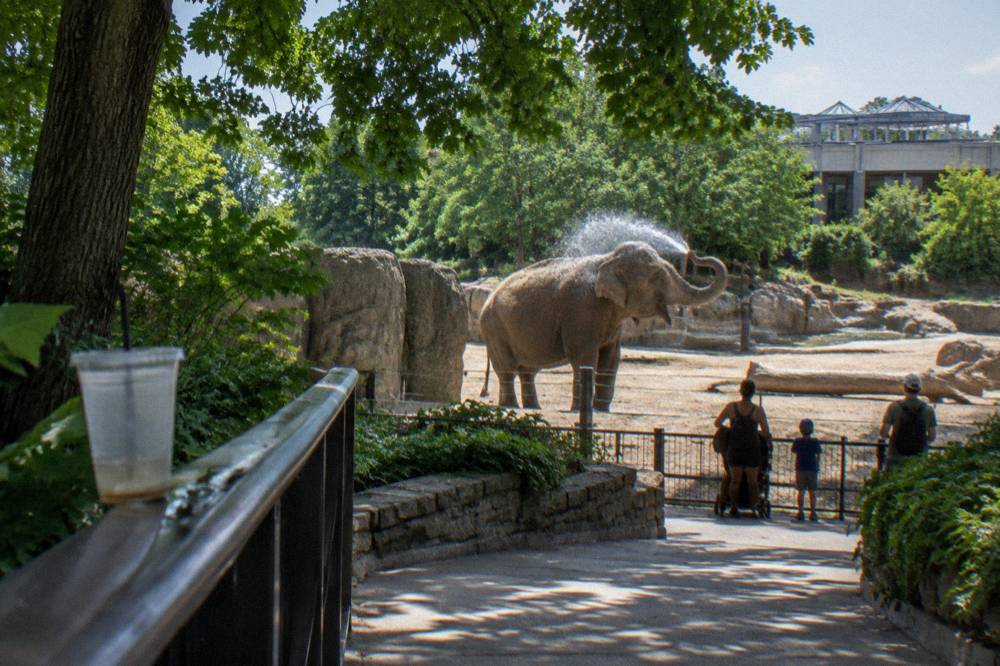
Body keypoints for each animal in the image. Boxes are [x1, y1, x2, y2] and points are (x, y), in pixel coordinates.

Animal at [479, 241, 728, 411]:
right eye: (657, 276)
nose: (692, 253)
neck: (608, 259)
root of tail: (487, 298)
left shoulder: (611, 320)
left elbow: (611, 358)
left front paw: (601, 409)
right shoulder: (581, 311)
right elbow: (584, 357)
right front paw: (580, 409)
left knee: (527, 371)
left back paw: (533, 408)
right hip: (495, 329)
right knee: (508, 369)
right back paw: (511, 406)